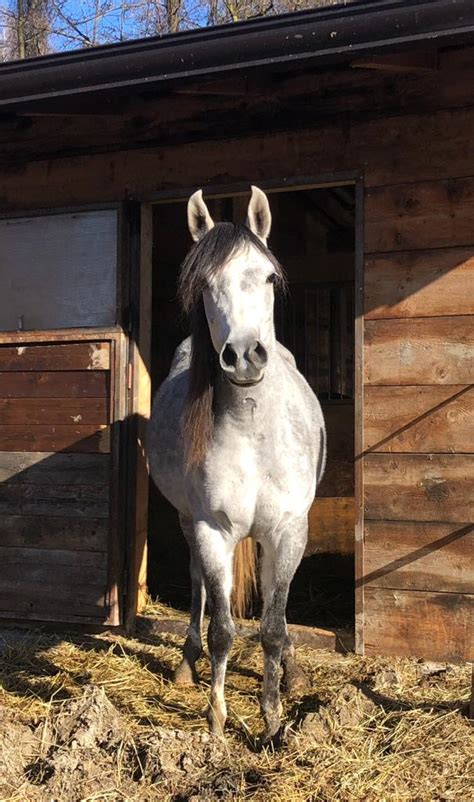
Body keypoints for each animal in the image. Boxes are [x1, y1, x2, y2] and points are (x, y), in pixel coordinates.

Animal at [148, 186, 326, 736]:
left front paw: (271, 719)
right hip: (188, 523)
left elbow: (272, 624)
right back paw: (187, 664)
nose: (244, 355)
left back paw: (292, 673)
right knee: (198, 588)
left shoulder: (288, 529)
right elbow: (224, 629)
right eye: (205, 283)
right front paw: (216, 719)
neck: (251, 432)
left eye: (267, 276)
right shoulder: (212, 529)